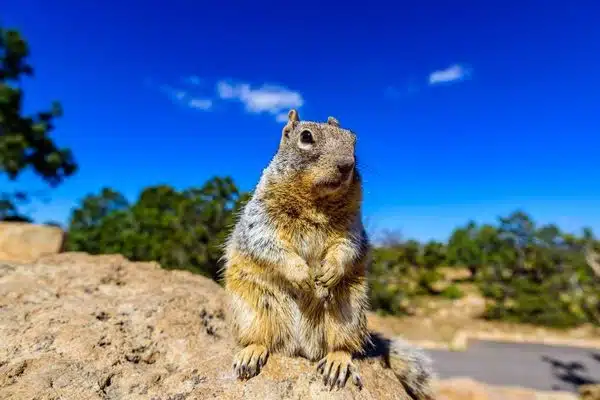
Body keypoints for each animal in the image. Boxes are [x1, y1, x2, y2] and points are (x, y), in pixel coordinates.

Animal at [223, 108, 434, 398]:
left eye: (353, 138)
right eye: (306, 137)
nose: (346, 164)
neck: (316, 200)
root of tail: (300, 348)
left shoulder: (352, 227)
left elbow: (347, 247)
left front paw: (330, 272)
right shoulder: (261, 217)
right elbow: (267, 242)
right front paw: (301, 275)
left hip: (349, 312)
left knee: (343, 346)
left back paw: (337, 362)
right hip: (252, 309)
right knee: (262, 339)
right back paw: (251, 353)